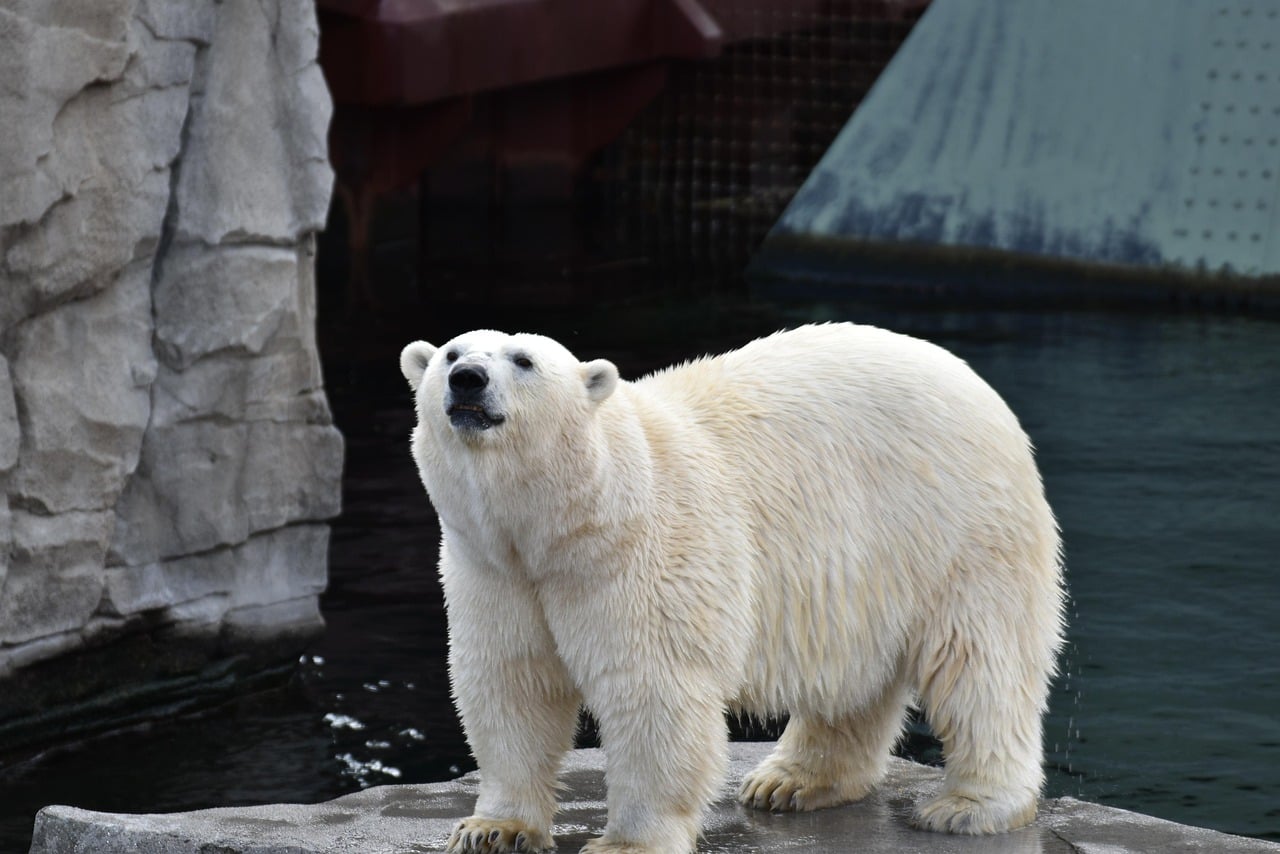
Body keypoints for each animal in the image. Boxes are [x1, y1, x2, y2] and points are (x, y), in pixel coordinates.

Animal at [399, 323, 1064, 854]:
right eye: (450, 352)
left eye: (523, 360)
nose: (467, 379)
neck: (569, 520)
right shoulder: (493, 568)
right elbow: (511, 682)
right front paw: (492, 828)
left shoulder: (640, 555)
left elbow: (651, 690)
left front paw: (627, 843)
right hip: (866, 569)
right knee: (853, 675)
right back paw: (790, 780)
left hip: (959, 525)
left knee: (980, 663)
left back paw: (969, 807)